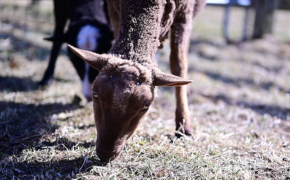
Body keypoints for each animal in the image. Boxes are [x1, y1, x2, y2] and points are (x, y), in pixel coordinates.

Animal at [67, 0, 205, 162]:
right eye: (95, 94)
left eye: (146, 106)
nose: (106, 154)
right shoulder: (114, 9)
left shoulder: (185, 13)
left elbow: (179, 64)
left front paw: (183, 127)